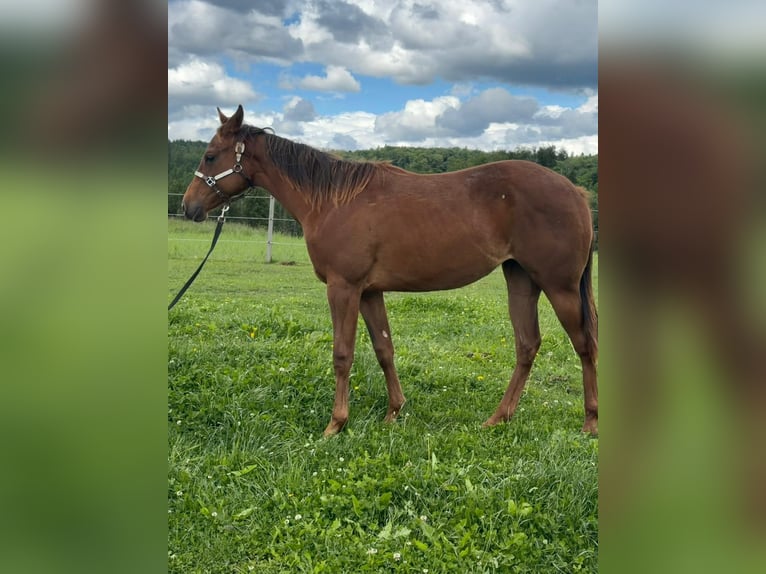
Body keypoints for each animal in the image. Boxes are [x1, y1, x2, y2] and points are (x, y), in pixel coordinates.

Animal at [181, 105, 598, 437]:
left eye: (211, 156)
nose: (188, 207)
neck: (333, 201)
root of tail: (576, 192)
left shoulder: (344, 288)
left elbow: (342, 353)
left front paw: (336, 424)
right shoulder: (369, 291)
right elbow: (384, 349)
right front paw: (394, 412)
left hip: (559, 287)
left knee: (584, 345)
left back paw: (590, 422)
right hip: (521, 280)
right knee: (527, 345)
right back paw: (498, 418)